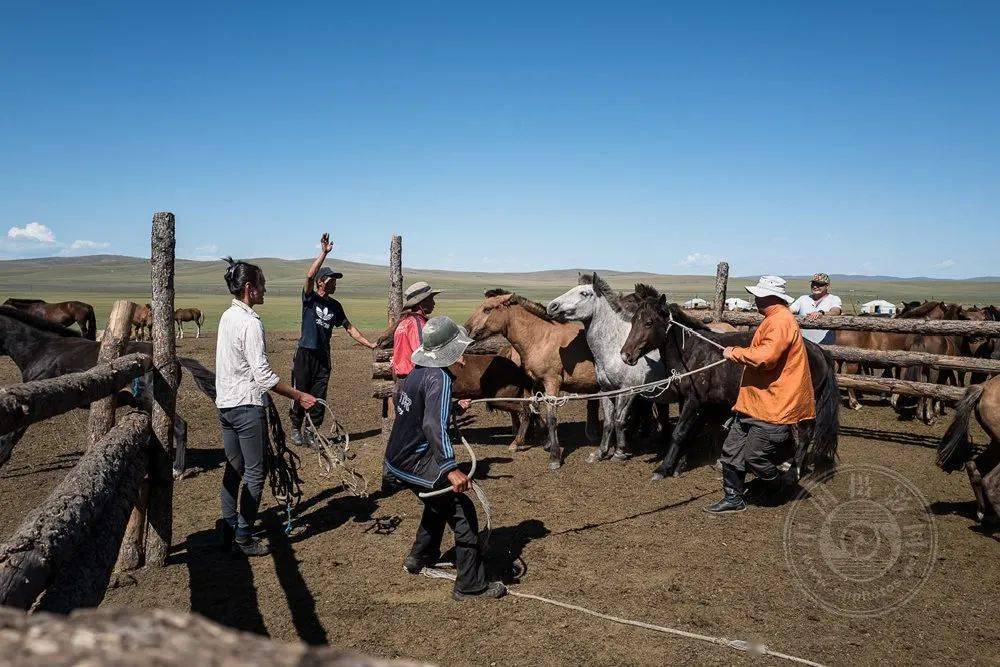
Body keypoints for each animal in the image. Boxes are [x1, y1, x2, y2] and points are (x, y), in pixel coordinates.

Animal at [0, 306, 215, 470]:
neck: (40, 349)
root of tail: (173, 360)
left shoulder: (30, 405)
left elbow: (11, 435)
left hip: (153, 400)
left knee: (180, 426)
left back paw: (178, 469)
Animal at [544, 274, 668, 462]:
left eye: (584, 293)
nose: (552, 306)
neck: (614, 349)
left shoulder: (627, 391)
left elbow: (619, 419)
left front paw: (620, 451)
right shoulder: (606, 391)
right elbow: (609, 422)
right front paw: (600, 452)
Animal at [620, 288, 840, 480]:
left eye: (649, 322)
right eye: (633, 320)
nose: (625, 355)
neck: (692, 351)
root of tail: (818, 351)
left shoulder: (693, 400)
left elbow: (679, 433)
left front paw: (663, 468)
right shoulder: (689, 400)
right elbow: (688, 431)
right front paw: (679, 464)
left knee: (805, 434)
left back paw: (793, 471)